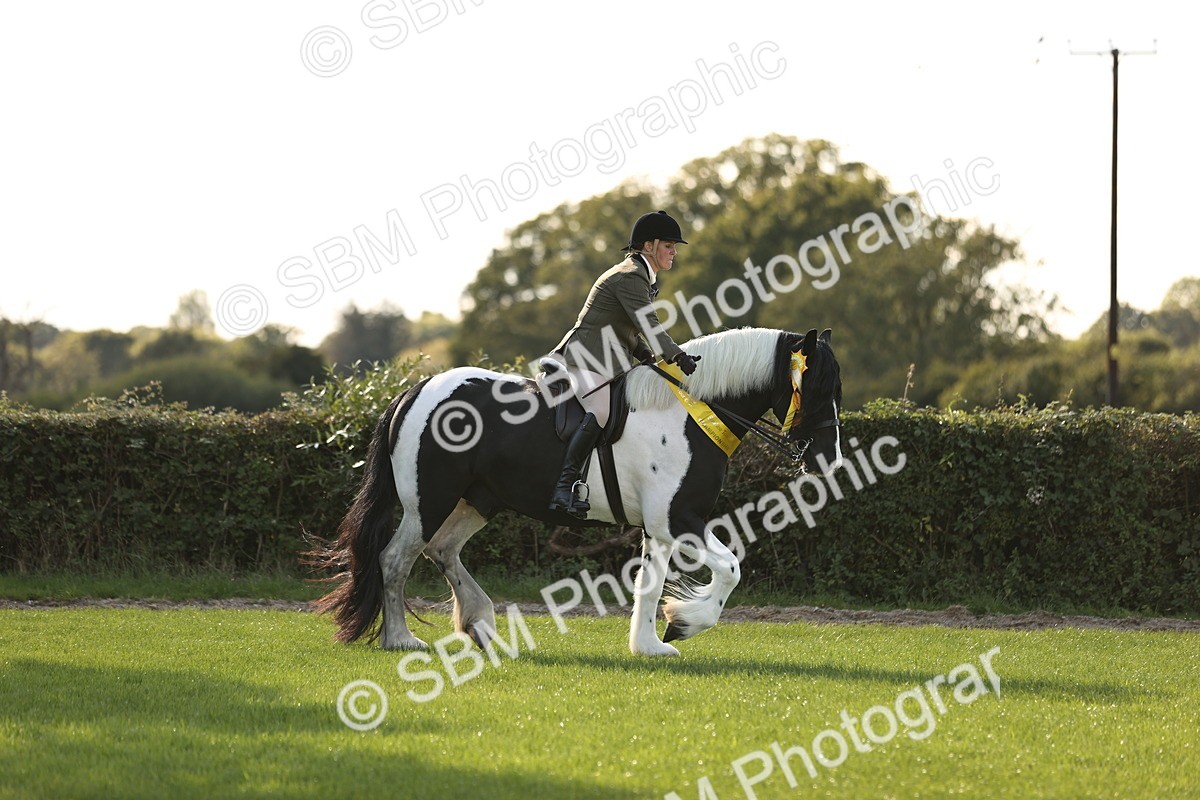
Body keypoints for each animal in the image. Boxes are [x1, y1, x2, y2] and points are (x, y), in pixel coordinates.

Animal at [312, 326, 843, 656]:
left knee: (441, 551)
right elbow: (730, 568)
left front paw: (650, 645)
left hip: (478, 500)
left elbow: (650, 585)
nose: (829, 459)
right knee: (394, 561)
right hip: (428, 501)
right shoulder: (677, 519)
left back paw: (480, 624)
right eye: (817, 388)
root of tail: (416, 390)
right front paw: (685, 622)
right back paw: (402, 640)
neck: (693, 412)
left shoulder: (659, 528)